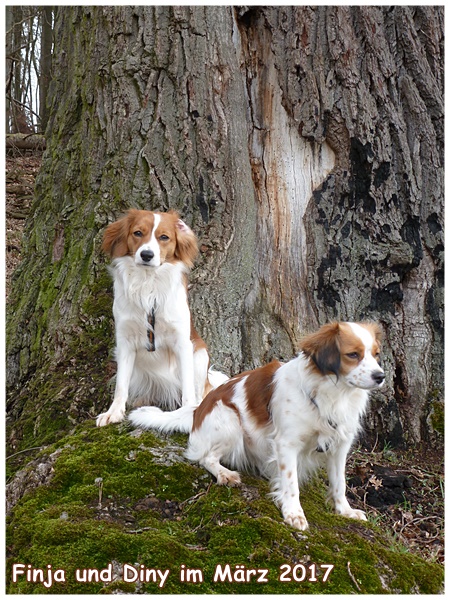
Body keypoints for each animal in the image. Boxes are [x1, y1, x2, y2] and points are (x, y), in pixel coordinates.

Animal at [96, 210, 227, 426]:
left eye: (164, 237)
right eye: (138, 233)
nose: (146, 255)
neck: (148, 283)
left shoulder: (182, 341)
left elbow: (188, 390)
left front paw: (186, 413)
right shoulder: (125, 341)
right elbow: (121, 385)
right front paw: (113, 412)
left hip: (200, 356)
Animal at [128, 324, 384, 528]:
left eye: (376, 354)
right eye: (353, 354)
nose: (380, 376)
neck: (332, 394)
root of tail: (197, 410)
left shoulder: (339, 446)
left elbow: (340, 483)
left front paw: (345, 511)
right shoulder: (287, 443)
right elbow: (291, 482)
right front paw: (294, 513)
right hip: (230, 420)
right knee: (204, 457)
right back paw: (225, 474)